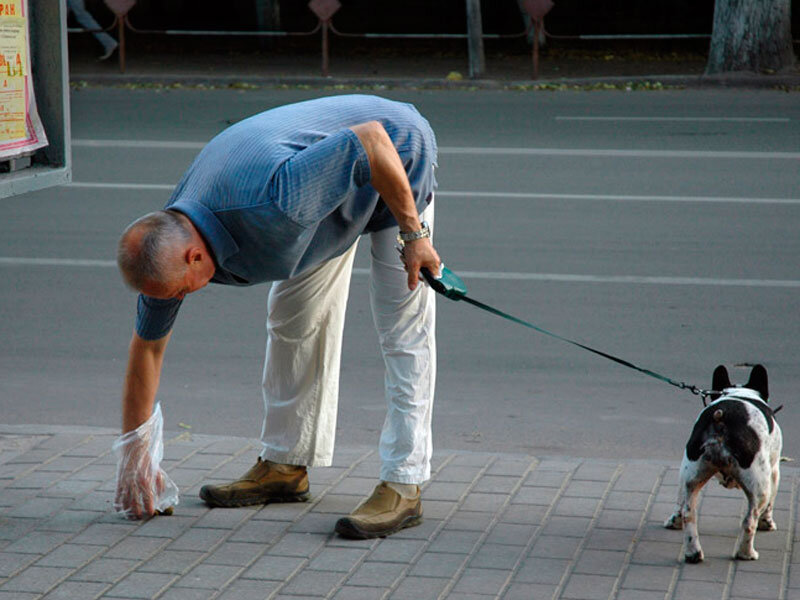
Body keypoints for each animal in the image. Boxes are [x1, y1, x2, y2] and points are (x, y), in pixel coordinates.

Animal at [664, 364, 780, 564]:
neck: (740, 392)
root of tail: (721, 419)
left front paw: (674, 521)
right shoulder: (774, 470)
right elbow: (770, 503)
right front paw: (767, 523)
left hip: (692, 474)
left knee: (688, 513)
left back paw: (693, 553)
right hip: (759, 485)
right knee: (750, 520)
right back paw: (746, 553)